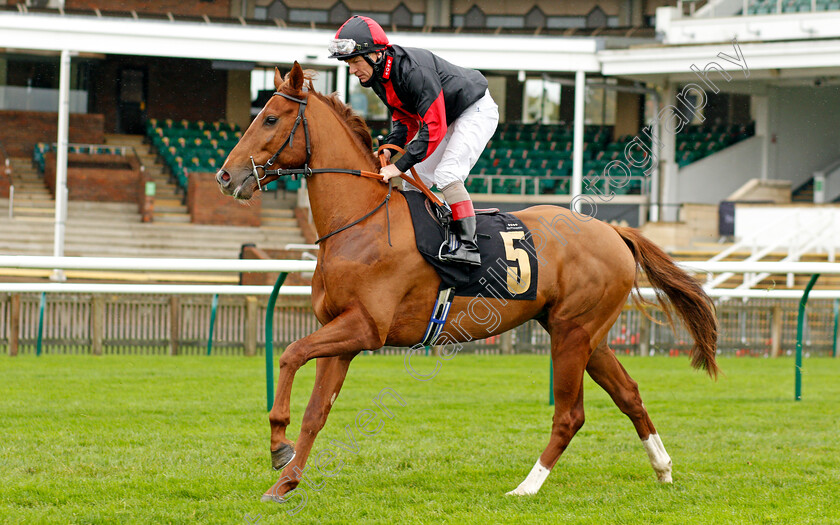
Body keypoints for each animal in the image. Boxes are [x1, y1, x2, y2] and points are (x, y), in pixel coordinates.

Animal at [215, 63, 716, 502]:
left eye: (271, 118)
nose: (225, 176)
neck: (362, 222)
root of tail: (613, 231)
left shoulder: (365, 328)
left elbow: (290, 354)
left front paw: (277, 444)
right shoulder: (341, 334)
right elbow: (316, 412)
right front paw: (285, 482)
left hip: (574, 334)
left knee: (569, 415)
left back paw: (526, 487)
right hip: (583, 333)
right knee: (628, 394)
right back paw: (663, 468)